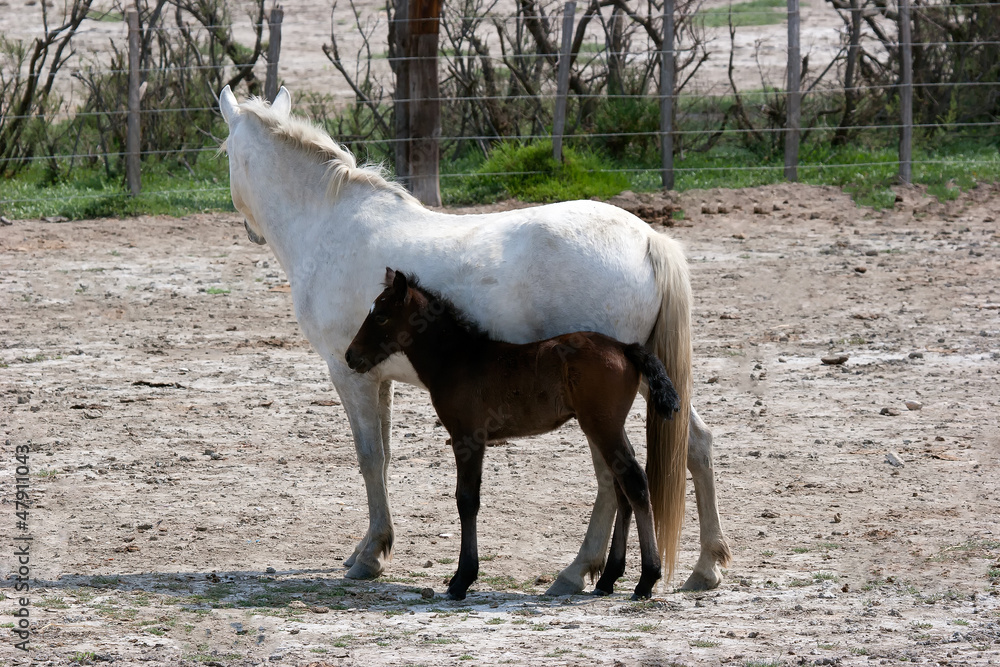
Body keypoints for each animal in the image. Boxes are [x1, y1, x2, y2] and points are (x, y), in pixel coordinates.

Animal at [346, 269, 682, 600]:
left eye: (381, 317)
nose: (350, 356)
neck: (458, 360)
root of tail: (625, 347)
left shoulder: (468, 437)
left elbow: (466, 500)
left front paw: (461, 580)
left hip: (603, 426)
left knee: (634, 483)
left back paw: (646, 580)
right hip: (608, 427)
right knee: (622, 485)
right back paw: (609, 578)